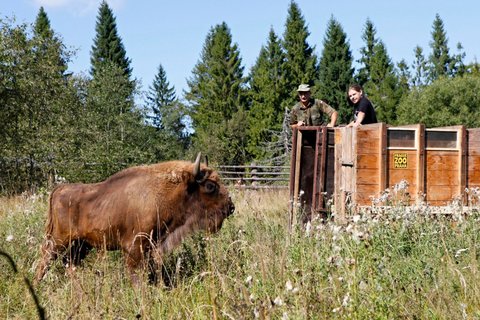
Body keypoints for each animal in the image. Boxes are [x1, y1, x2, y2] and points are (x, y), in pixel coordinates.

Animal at [35, 154, 234, 282]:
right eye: (210, 185)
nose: (231, 207)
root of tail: (60, 188)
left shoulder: (152, 246)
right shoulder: (135, 247)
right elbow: (136, 274)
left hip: (80, 244)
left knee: (70, 263)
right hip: (58, 240)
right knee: (45, 259)